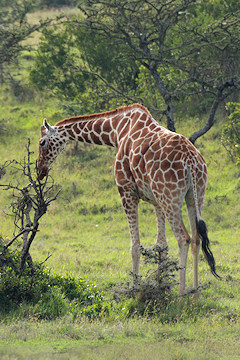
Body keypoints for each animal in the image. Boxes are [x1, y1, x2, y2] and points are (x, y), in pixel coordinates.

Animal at [37, 102, 219, 294]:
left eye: (42, 142)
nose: (40, 171)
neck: (117, 131)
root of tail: (190, 160)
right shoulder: (156, 201)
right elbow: (161, 245)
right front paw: (161, 284)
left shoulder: (126, 191)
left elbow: (135, 246)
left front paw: (135, 287)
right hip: (194, 195)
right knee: (197, 237)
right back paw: (195, 290)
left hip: (170, 197)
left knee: (184, 238)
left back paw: (181, 293)